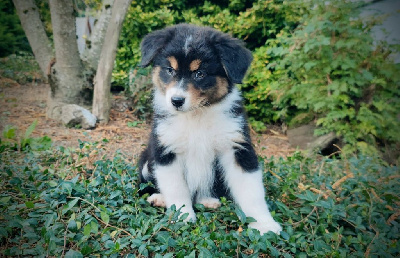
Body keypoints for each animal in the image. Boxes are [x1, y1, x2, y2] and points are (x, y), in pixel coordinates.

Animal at [138, 23, 282, 234]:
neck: (197, 116)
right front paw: (182, 216)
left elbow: (252, 191)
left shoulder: (237, 146)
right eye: (170, 70)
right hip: (146, 162)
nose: (176, 101)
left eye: (200, 74)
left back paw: (208, 200)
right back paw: (159, 198)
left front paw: (265, 224)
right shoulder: (165, 149)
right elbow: (176, 187)